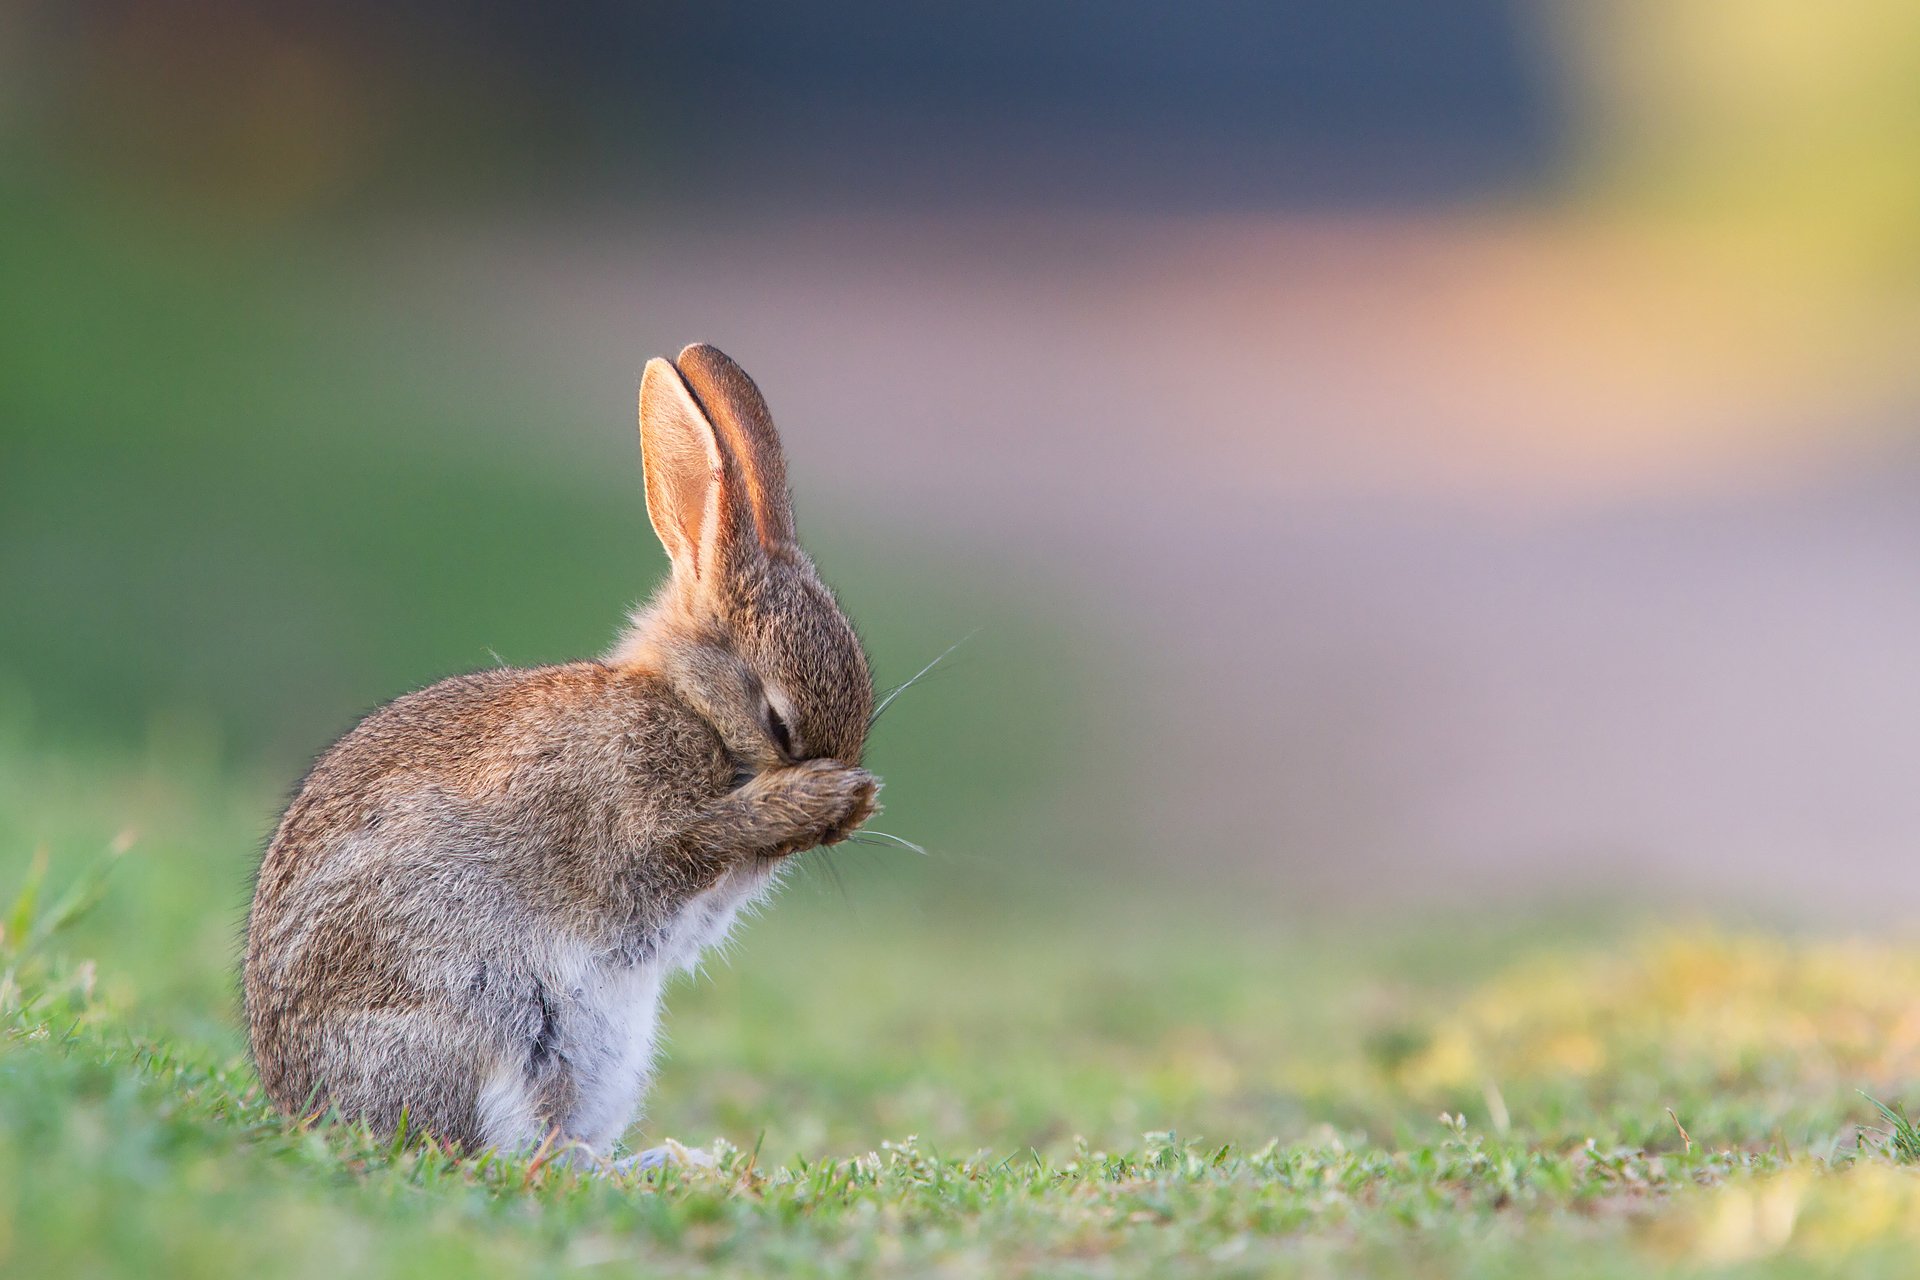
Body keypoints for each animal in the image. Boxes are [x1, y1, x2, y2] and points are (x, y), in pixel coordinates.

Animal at [240, 345, 879, 1166]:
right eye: (778, 722)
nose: (845, 815)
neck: (690, 707)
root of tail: (306, 1107)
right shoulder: (634, 826)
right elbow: (688, 845)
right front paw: (819, 798)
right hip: (485, 1022)